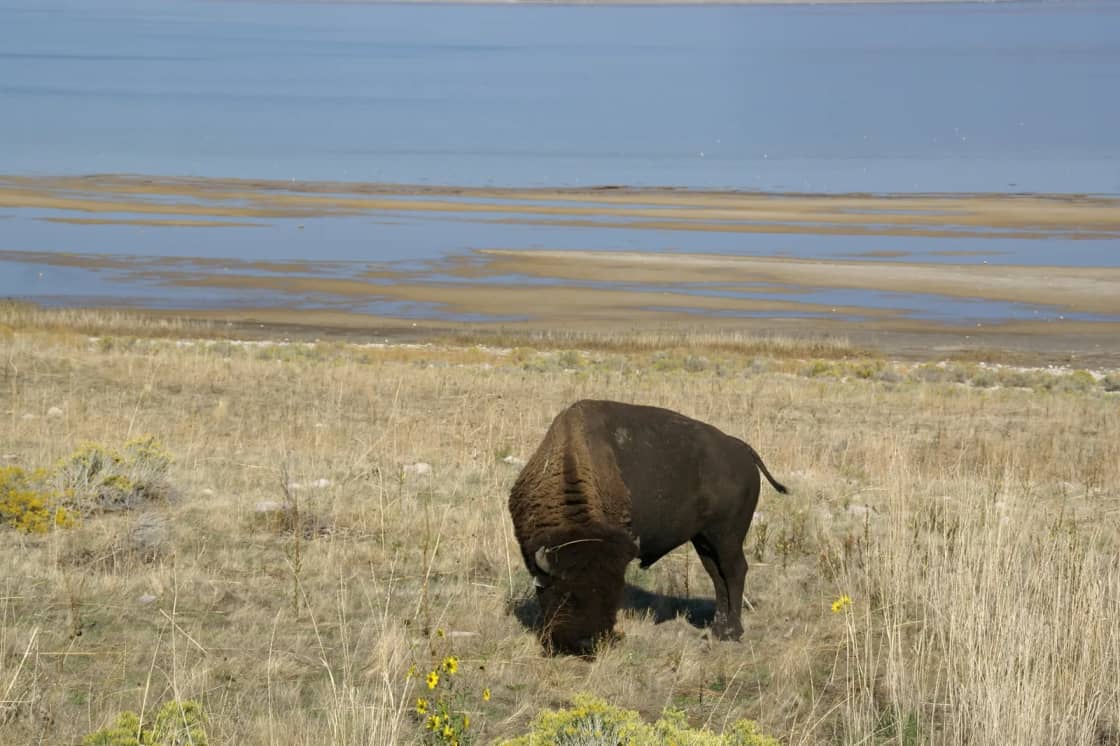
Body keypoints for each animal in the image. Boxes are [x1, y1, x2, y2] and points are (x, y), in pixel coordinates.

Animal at [509, 399, 787, 654]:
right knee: (718, 576)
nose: (587, 642)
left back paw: (732, 632)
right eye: (567, 594)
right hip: (704, 540)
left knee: (735, 571)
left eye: (611, 594)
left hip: (727, 536)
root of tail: (741, 449)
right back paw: (717, 628)